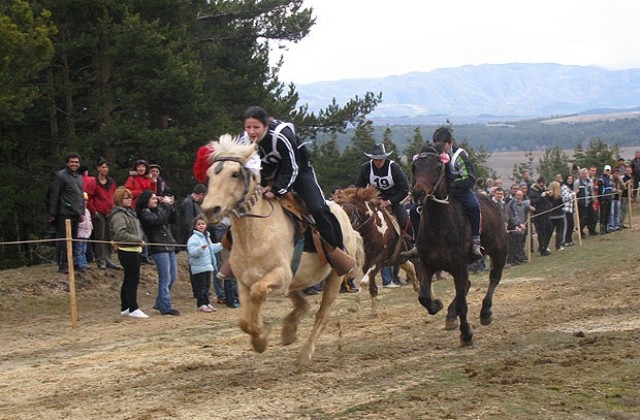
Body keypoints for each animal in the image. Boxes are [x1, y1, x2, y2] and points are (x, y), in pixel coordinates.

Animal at [200, 135, 364, 368]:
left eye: (234, 173)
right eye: (209, 175)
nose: (209, 210)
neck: (255, 233)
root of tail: (346, 219)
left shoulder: (279, 275)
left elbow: (258, 292)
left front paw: (262, 335)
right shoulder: (243, 282)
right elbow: (244, 321)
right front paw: (260, 339)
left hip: (333, 277)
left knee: (321, 315)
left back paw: (304, 355)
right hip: (297, 280)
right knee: (304, 304)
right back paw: (288, 331)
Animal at [332, 185, 418, 314]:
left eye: (348, 213)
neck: (371, 230)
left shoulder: (378, 259)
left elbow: (364, 282)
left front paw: (355, 305)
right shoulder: (367, 263)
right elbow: (371, 286)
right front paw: (374, 311)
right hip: (398, 258)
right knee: (410, 268)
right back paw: (417, 287)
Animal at [412, 143, 508, 346]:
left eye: (437, 167)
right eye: (415, 167)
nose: (418, 193)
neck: (438, 225)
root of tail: (495, 203)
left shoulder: (459, 265)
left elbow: (464, 303)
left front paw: (466, 334)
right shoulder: (426, 264)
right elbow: (423, 297)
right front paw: (437, 305)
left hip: (499, 252)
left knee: (493, 278)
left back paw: (485, 312)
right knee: (466, 285)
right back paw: (450, 315)